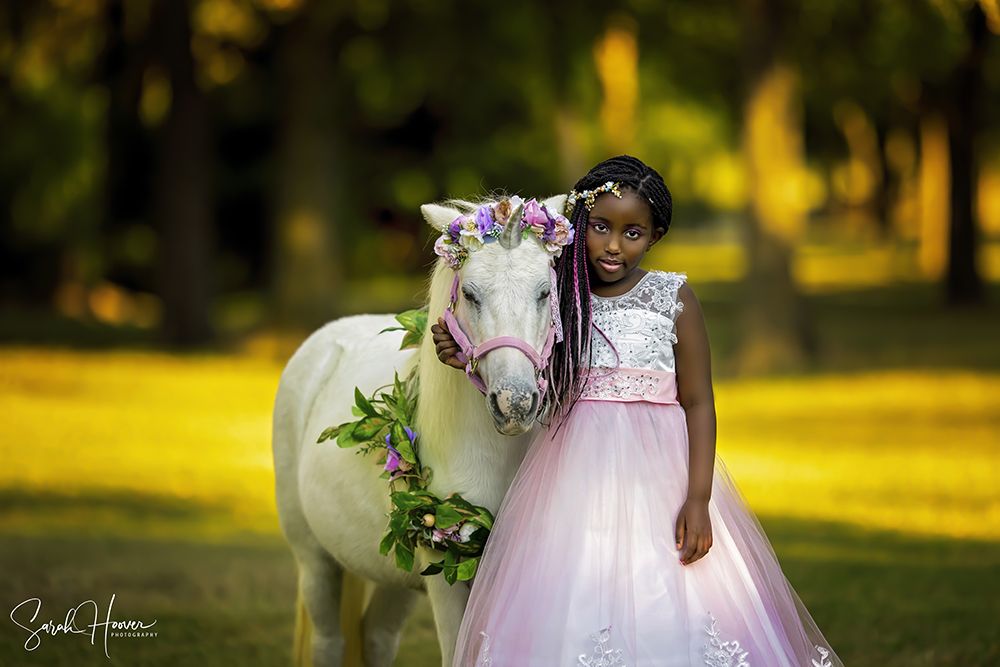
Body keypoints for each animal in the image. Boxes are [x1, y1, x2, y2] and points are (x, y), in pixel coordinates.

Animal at [274, 194, 568, 667]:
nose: (515, 404)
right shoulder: (445, 573)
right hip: (316, 562)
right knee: (329, 642)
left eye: (545, 292)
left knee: (376, 638)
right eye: (469, 293)